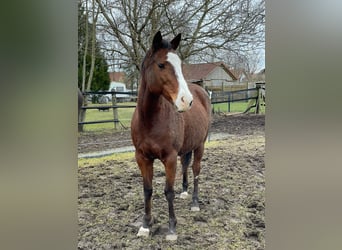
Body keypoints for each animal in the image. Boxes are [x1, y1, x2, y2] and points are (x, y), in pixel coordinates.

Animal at [131, 31, 211, 240]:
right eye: (161, 65)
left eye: (180, 65)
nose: (186, 100)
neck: (150, 120)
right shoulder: (142, 157)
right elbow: (147, 190)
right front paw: (145, 225)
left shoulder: (169, 158)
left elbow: (168, 191)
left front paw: (172, 228)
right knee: (186, 165)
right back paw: (185, 192)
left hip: (200, 145)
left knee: (196, 170)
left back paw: (194, 203)